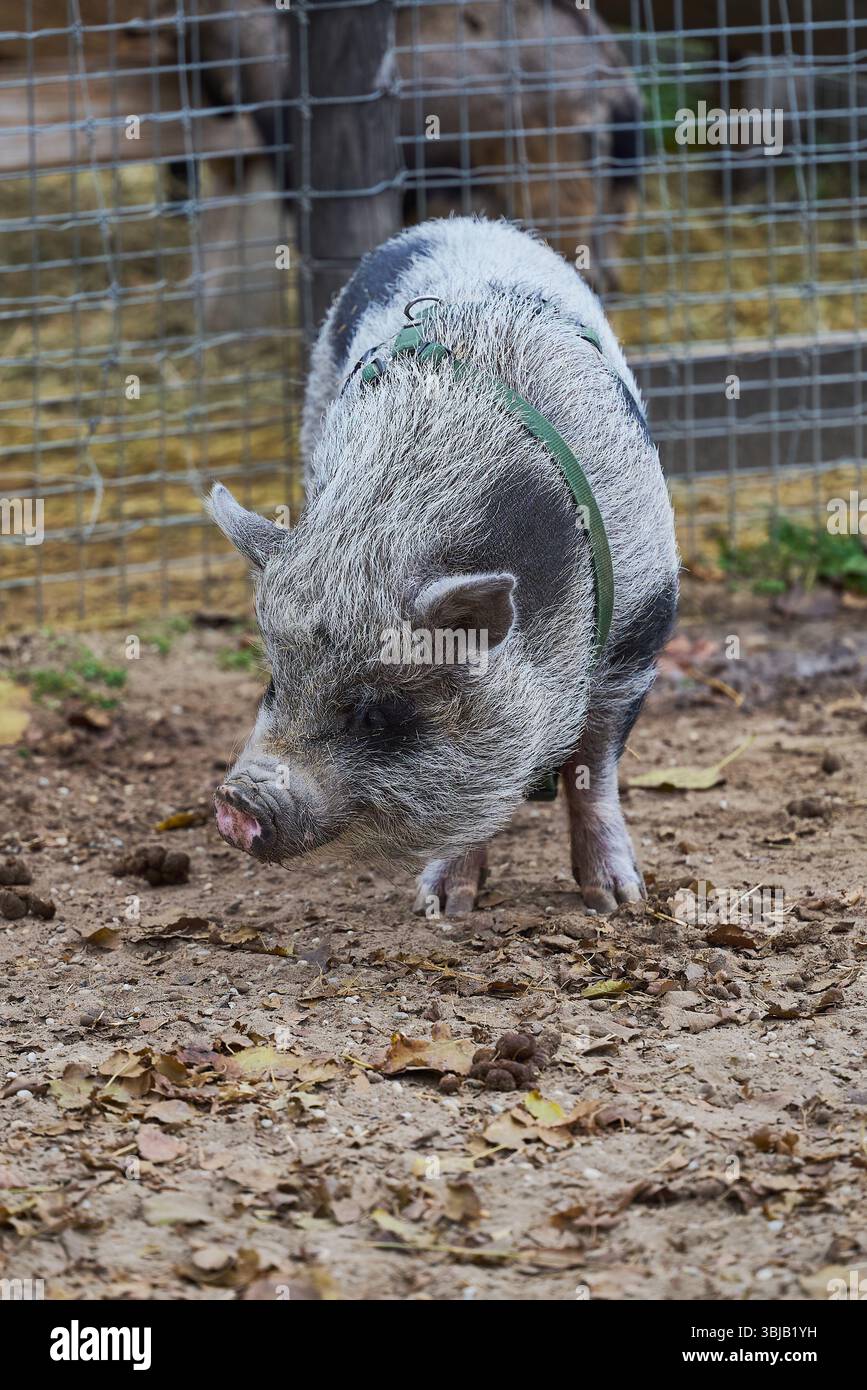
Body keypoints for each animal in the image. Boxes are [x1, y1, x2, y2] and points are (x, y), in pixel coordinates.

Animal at [210, 216, 678, 915]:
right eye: (275, 684)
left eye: (377, 714)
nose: (235, 801)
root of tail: (453, 222)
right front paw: (443, 909)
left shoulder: (640, 628)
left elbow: (594, 767)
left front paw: (618, 901)